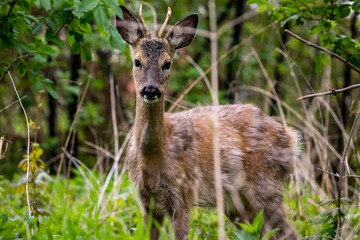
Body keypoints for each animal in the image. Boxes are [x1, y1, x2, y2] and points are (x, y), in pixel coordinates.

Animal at [117, 4, 298, 239]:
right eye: (137, 61)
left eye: (167, 63)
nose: (150, 90)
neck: (155, 155)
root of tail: (290, 137)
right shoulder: (146, 201)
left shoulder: (183, 194)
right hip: (237, 203)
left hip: (266, 184)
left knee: (287, 231)